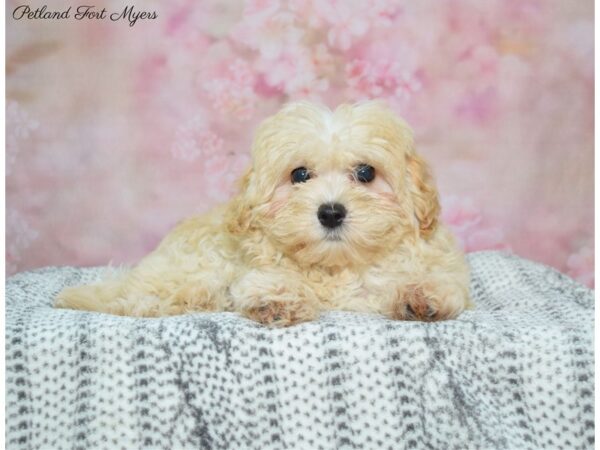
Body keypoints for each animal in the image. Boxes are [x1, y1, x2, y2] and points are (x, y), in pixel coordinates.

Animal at [54, 101, 472, 326]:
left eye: (366, 173)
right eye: (299, 175)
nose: (331, 212)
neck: (336, 266)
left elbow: (438, 282)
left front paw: (421, 295)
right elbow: (265, 281)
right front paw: (278, 298)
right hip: (186, 274)